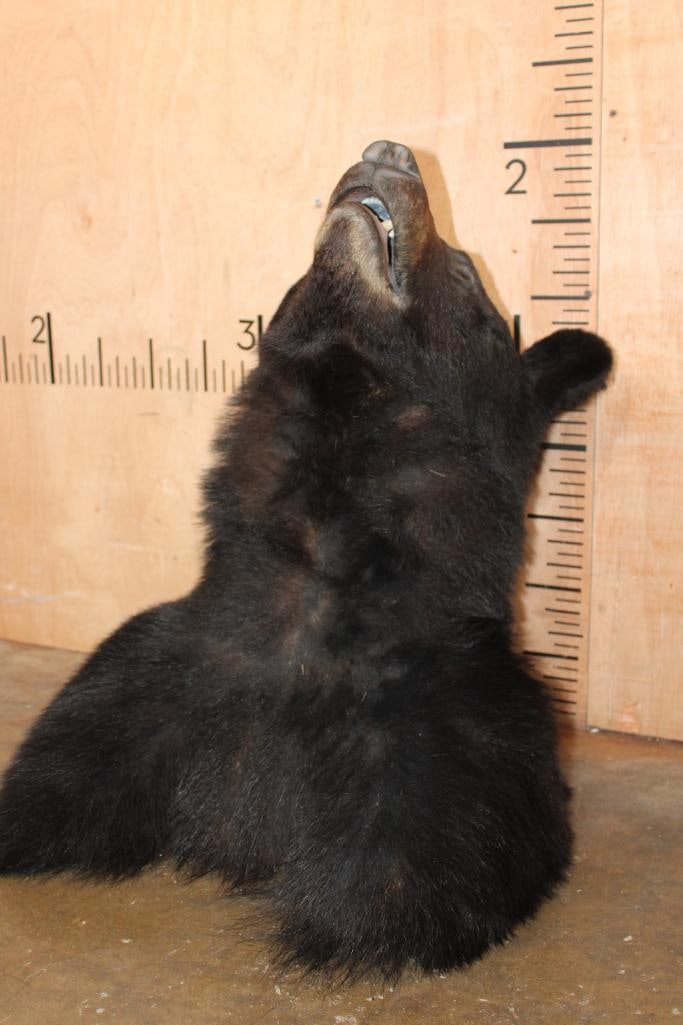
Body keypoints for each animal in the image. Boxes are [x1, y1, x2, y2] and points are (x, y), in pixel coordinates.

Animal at [0, 140, 612, 981]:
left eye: (466, 277)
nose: (389, 151)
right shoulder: (145, 673)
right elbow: (49, 776)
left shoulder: (457, 743)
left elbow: (395, 891)